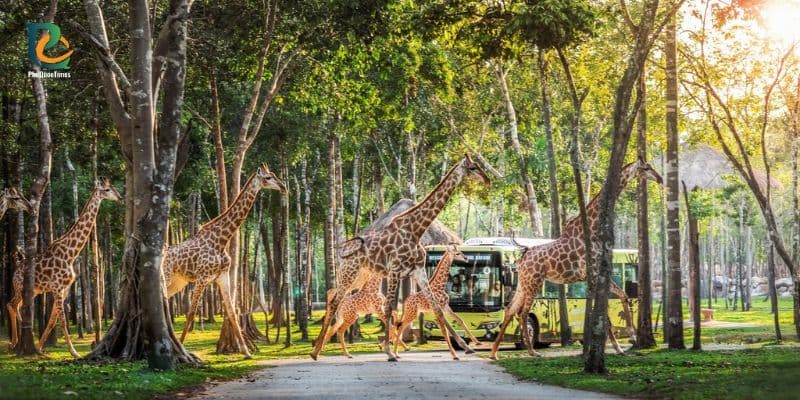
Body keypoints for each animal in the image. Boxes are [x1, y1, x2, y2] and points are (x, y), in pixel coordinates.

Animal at [7, 178, 122, 357]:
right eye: (107, 189)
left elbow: (52, 320)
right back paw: (14, 343)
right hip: (21, 288)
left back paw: (18, 342)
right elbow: (62, 320)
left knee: (15, 306)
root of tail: (16, 270)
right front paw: (74, 352)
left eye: (113, 188)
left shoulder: (64, 288)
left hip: (33, 291)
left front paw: (39, 347)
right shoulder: (57, 287)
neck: (71, 253)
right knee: (11, 305)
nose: (120, 197)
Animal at [162, 162, 286, 359]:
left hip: (178, 281)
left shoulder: (223, 277)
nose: (283, 187)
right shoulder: (202, 278)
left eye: (274, 175)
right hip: (167, 275)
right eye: (268, 178)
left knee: (165, 298)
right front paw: (181, 346)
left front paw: (246, 352)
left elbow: (232, 312)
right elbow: (191, 313)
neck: (222, 240)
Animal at [311, 154, 491, 361]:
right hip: (350, 272)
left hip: (360, 276)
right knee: (334, 301)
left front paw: (465, 347)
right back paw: (315, 351)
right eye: (473, 167)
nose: (487, 180)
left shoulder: (417, 271)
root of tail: (344, 250)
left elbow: (437, 308)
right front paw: (389, 352)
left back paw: (317, 350)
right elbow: (389, 308)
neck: (415, 230)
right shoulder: (395, 270)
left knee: (334, 297)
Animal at [489, 159, 662, 360]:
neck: (592, 231)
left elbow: (622, 296)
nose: (660, 178)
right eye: (646, 168)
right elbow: (604, 313)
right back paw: (532, 351)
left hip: (523, 283)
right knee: (523, 312)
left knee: (510, 309)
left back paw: (494, 352)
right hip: (534, 282)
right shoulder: (592, 274)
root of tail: (523, 256)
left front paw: (623, 343)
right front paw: (621, 341)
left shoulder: (594, 276)